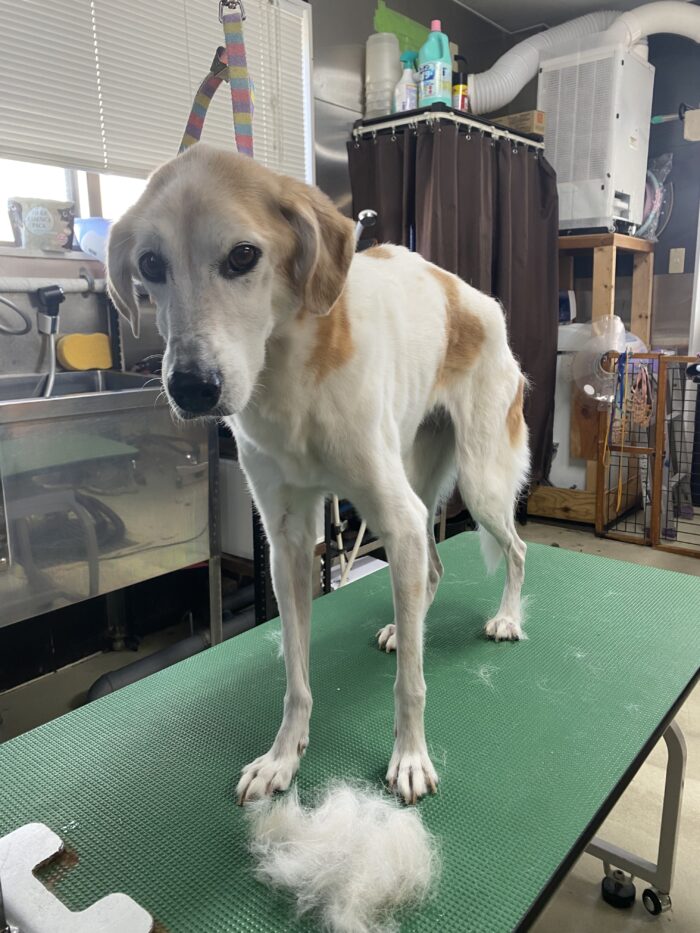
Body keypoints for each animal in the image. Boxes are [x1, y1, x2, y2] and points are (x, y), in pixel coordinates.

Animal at [107, 144, 529, 805]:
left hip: (478, 481)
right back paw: (404, 625)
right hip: (418, 484)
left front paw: (411, 757)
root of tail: (479, 301)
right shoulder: (288, 541)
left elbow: (410, 684)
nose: (191, 388)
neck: (287, 377)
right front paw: (283, 757)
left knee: (516, 547)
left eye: (243, 256)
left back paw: (507, 617)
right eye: (150, 264)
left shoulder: (394, 517)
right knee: (432, 568)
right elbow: (297, 679)